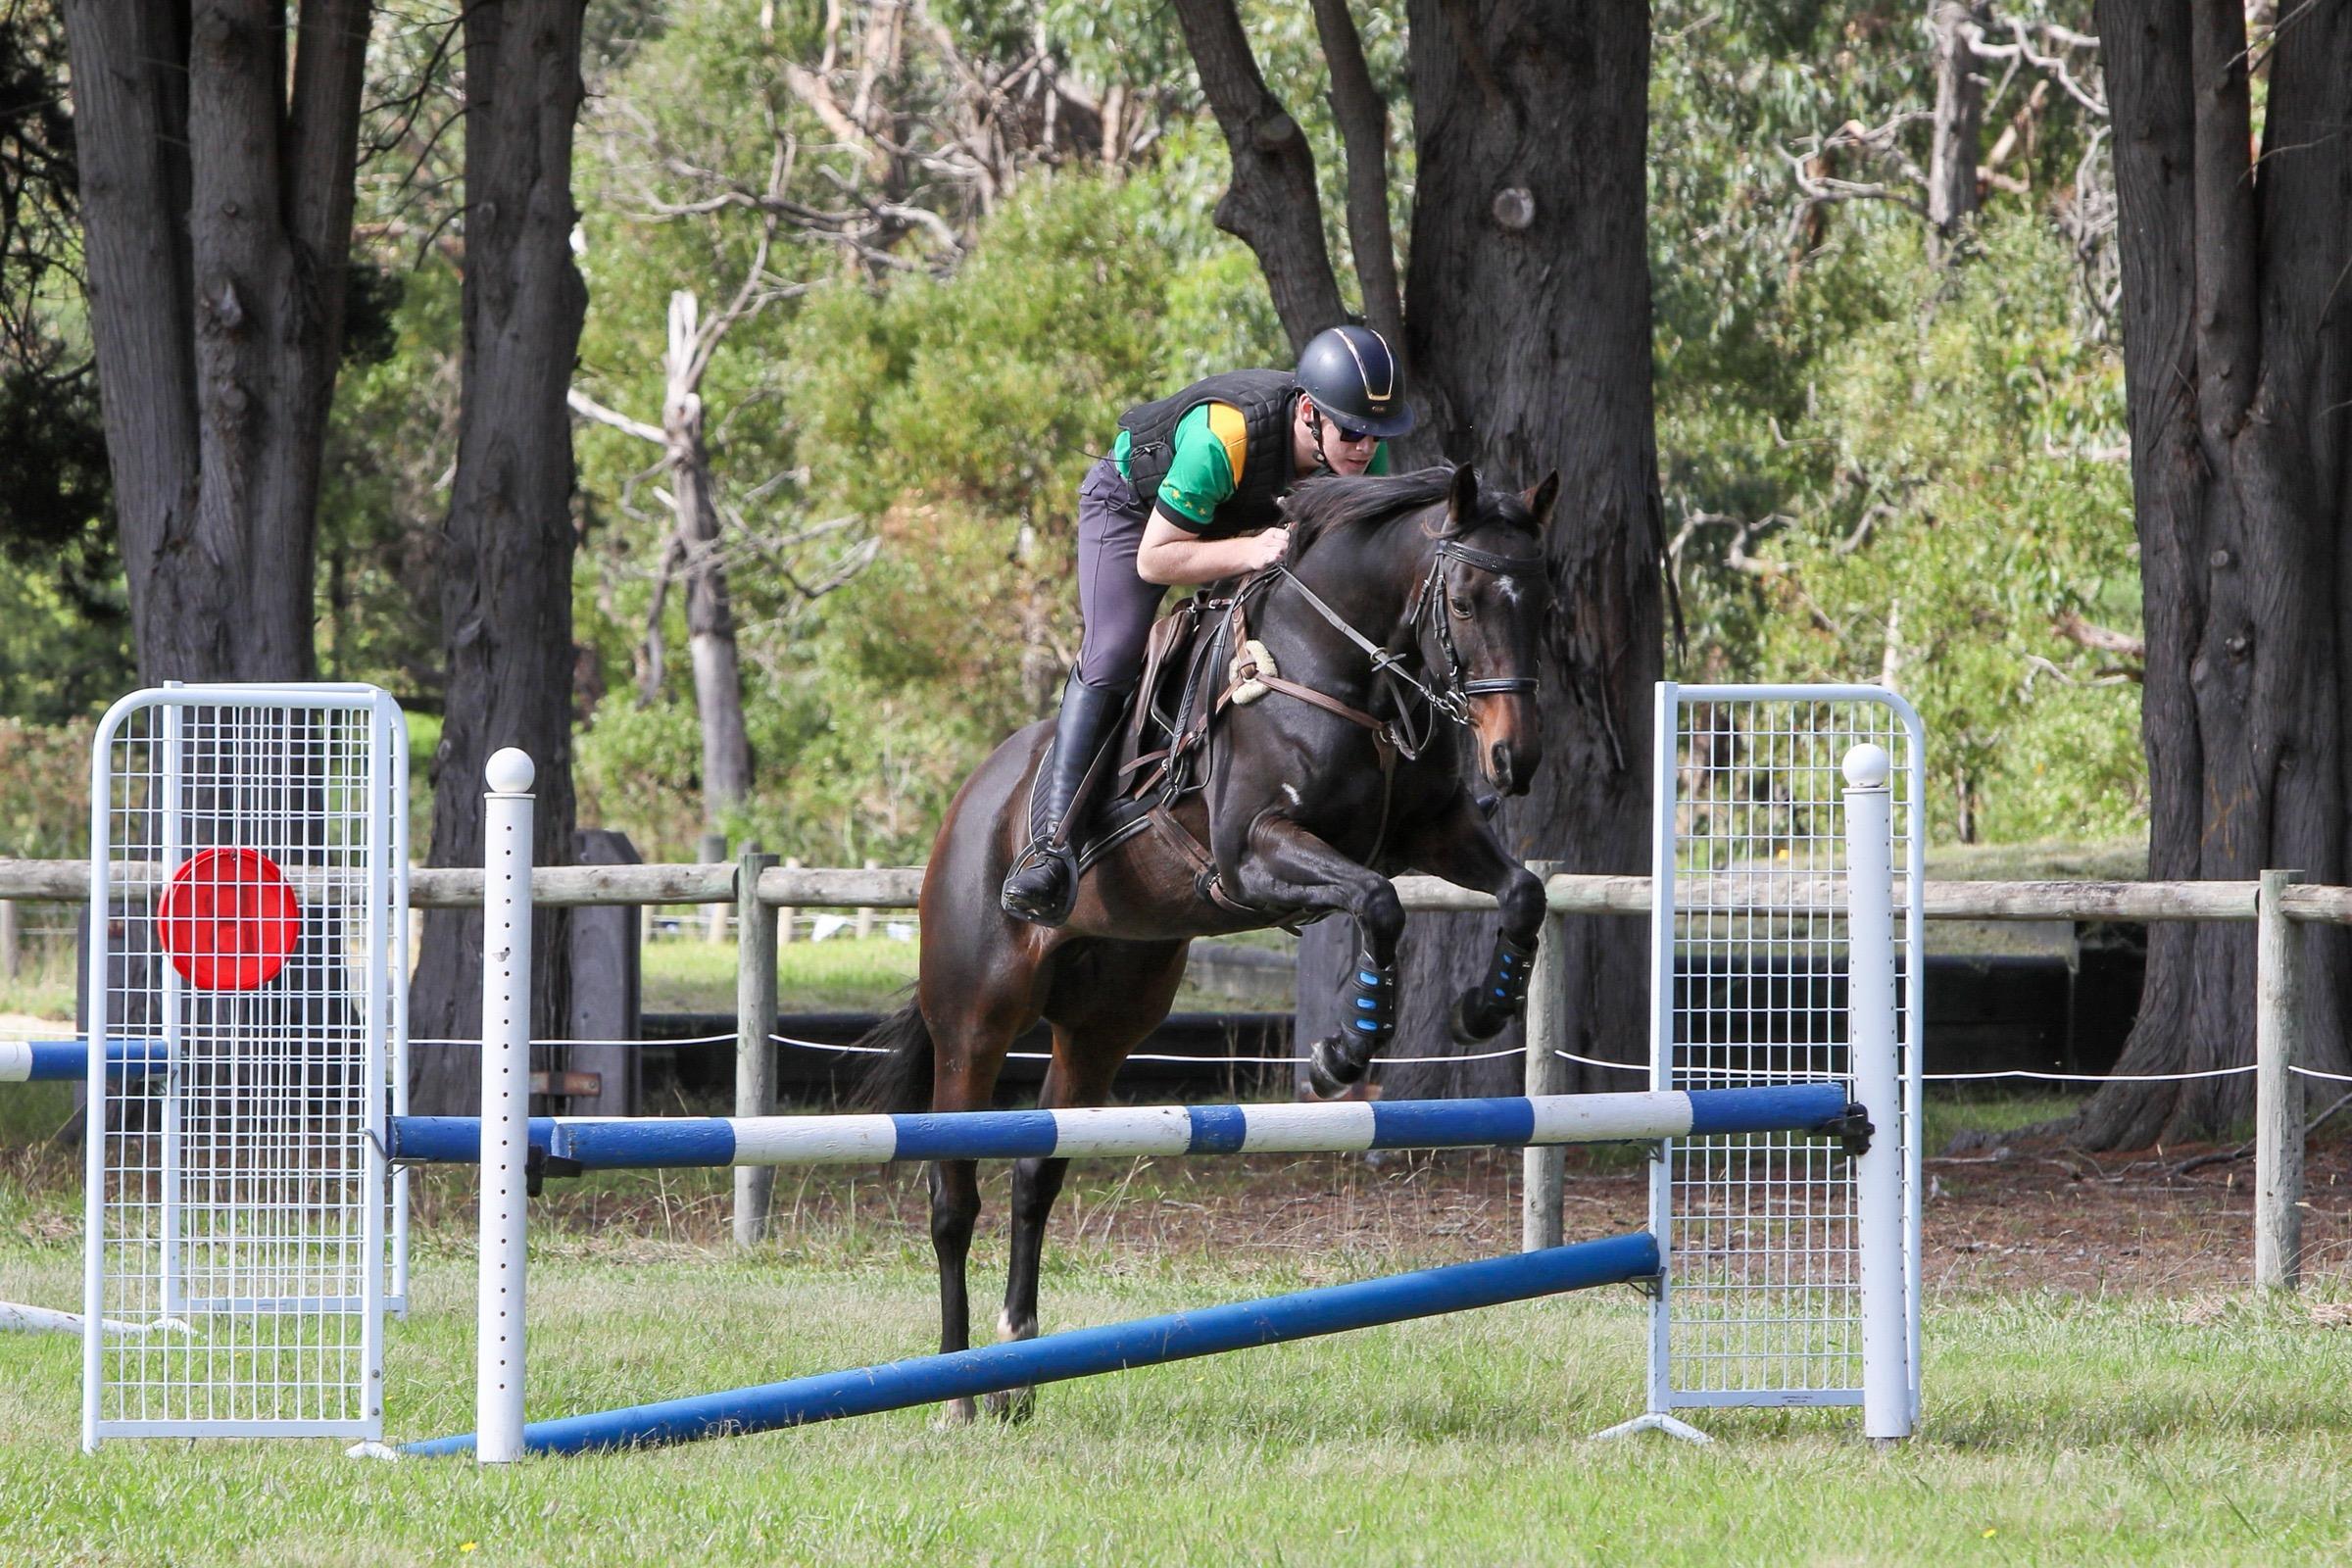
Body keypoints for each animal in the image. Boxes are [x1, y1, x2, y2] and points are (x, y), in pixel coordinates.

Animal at [859, 461, 1558, 1421]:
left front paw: (1485, 1008)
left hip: (1104, 1025)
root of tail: (967, 808)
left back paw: (1018, 1369)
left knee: (1038, 1172)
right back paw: (958, 1388)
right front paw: (1342, 1055)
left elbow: (1522, 891)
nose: (1513, 763)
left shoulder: (1435, 831)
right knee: (951, 1192)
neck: (1341, 667)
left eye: (1547, 603)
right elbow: (1379, 905)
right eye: (1461, 600)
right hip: (975, 1018)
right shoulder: (1256, 852)